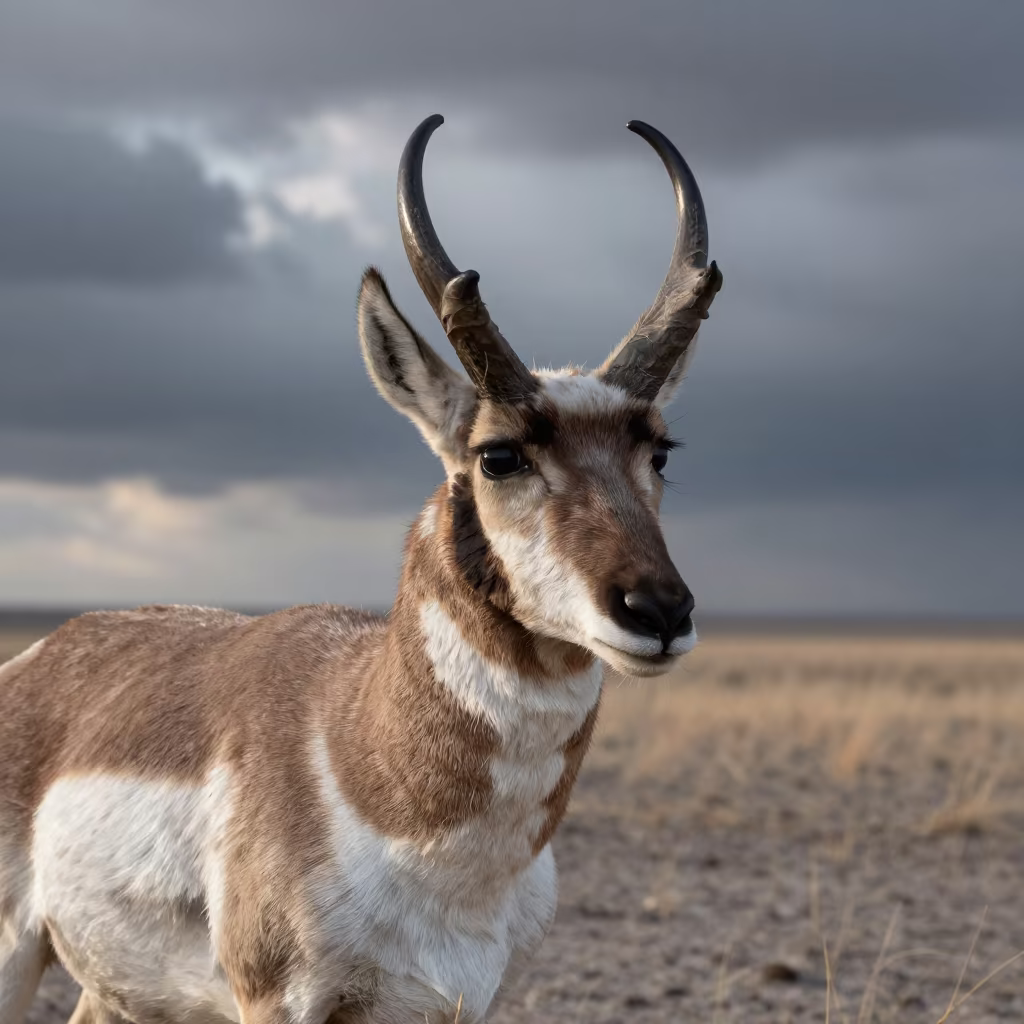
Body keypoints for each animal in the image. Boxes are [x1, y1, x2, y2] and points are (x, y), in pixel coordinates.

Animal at [0, 114, 722, 1024]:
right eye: (499, 455)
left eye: (659, 450)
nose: (657, 611)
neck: (354, 744)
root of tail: (44, 657)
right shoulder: (277, 1001)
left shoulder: (463, 1005)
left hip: (120, 991)